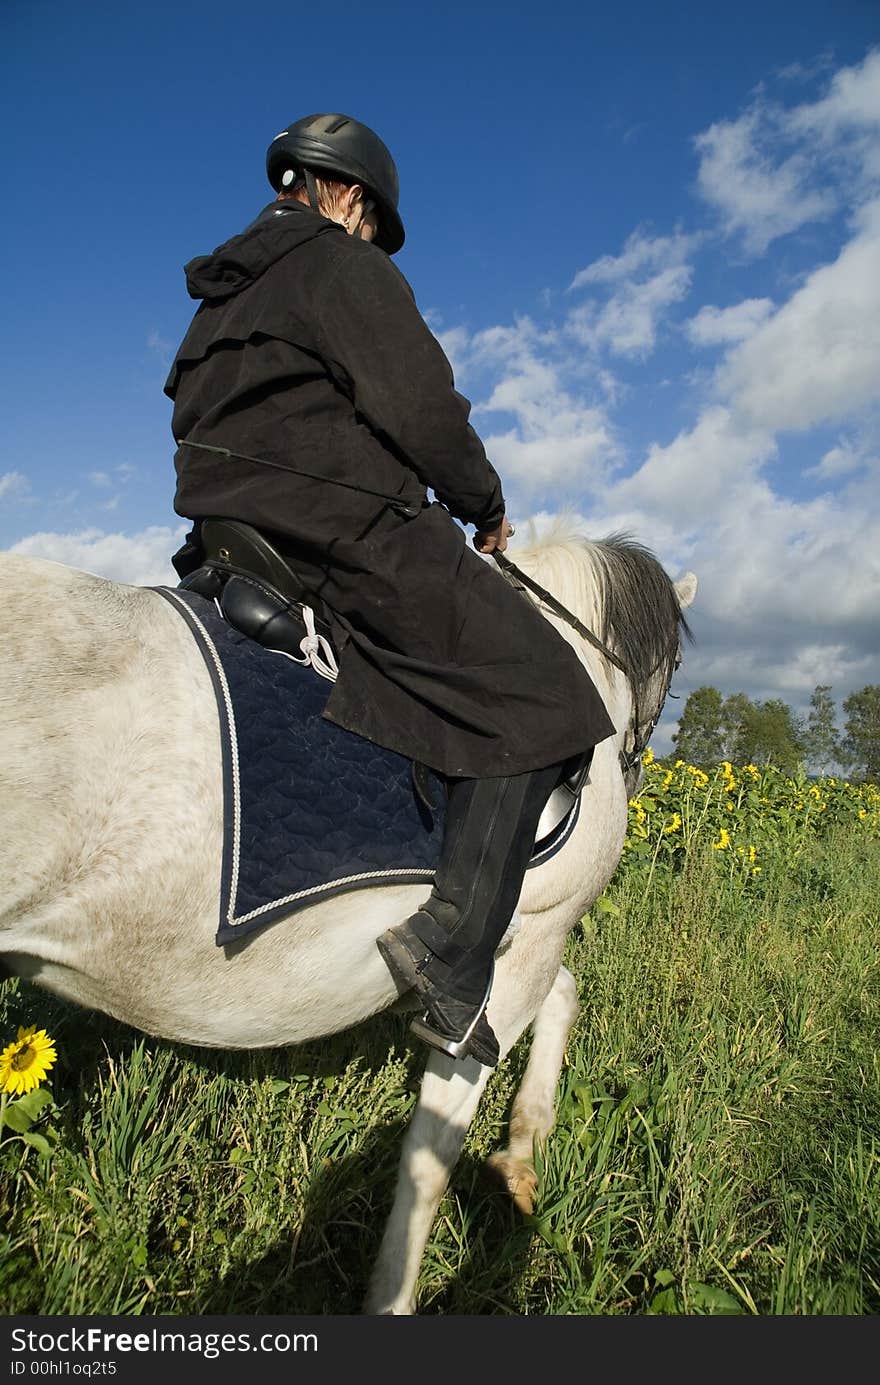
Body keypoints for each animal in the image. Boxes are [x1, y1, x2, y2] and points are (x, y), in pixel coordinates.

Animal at [1, 520, 695, 1307]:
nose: (635, 768)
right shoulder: (529, 940)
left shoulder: (521, 940)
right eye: (670, 677)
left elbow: (563, 996)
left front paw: (521, 1152)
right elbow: (434, 1143)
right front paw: (398, 1286)